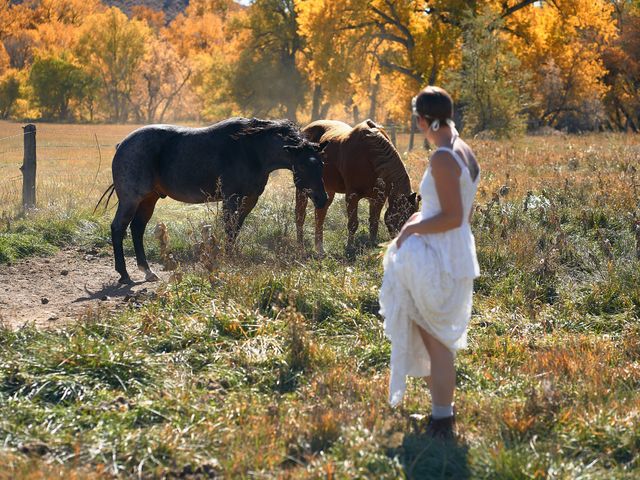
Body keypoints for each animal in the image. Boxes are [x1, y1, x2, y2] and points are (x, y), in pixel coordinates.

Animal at [99, 117, 330, 284]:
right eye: (302, 166)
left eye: (321, 164)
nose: (322, 199)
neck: (251, 150)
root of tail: (122, 145)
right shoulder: (231, 199)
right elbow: (228, 229)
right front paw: (227, 260)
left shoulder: (249, 200)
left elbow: (235, 230)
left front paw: (232, 257)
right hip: (131, 200)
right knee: (118, 228)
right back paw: (124, 274)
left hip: (149, 199)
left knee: (137, 229)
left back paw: (147, 271)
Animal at [296, 119, 418, 255]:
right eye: (402, 217)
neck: (369, 156)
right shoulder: (352, 195)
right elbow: (353, 224)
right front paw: (349, 248)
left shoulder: (378, 199)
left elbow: (374, 223)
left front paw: (372, 246)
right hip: (302, 189)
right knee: (300, 216)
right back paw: (301, 248)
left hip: (328, 190)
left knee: (320, 214)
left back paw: (320, 249)